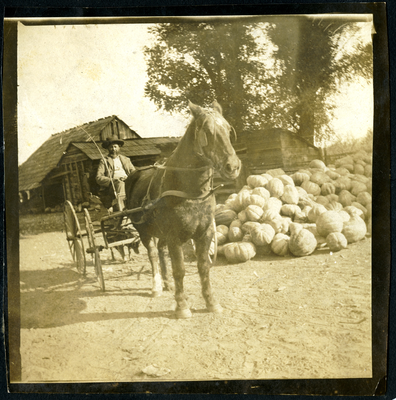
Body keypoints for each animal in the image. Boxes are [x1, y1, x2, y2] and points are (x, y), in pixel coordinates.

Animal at [125, 100, 240, 318]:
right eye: (208, 131)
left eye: (229, 129)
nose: (233, 167)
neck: (190, 191)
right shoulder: (174, 236)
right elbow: (179, 269)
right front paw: (181, 306)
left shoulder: (204, 233)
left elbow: (203, 267)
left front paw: (211, 302)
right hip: (144, 231)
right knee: (153, 255)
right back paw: (156, 286)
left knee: (160, 251)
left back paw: (166, 283)